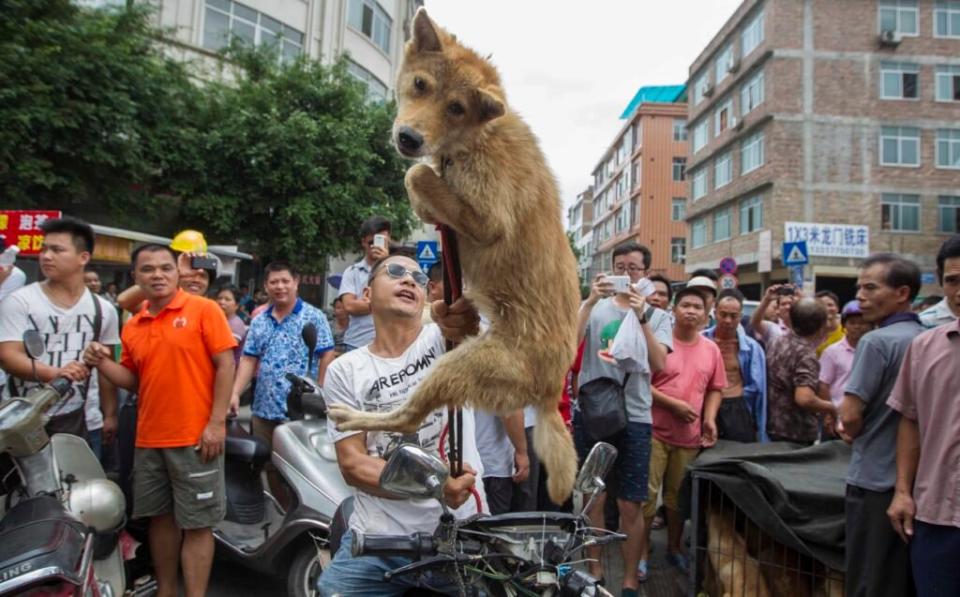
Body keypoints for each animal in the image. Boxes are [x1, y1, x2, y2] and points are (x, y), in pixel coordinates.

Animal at [326, 8, 576, 502]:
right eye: (420, 85)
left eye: (457, 107)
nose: (408, 138)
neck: (477, 137)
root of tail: (550, 390)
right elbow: (423, 175)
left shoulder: (490, 215)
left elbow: (419, 176)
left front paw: (424, 192)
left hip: (458, 368)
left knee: (407, 415)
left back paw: (355, 417)